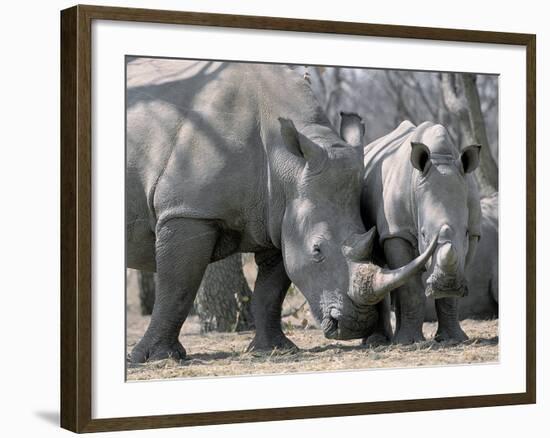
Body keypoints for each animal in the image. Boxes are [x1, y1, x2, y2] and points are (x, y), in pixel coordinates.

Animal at [126, 61, 436, 362]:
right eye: (317, 250)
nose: (355, 325)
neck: (285, 161)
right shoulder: (187, 211)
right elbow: (177, 287)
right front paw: (157, 358)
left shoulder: (279, 215)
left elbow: (271, 290)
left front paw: (274, 349)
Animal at [340, 114, 484, 346]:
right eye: (423, 234)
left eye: (464, 233)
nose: (446, 285)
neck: (441, 159)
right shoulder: (397, 232)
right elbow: (410, 288)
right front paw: (409, 342)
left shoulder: (474, 232)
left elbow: (451, 287)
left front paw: (454, 339)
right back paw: (379, 341)